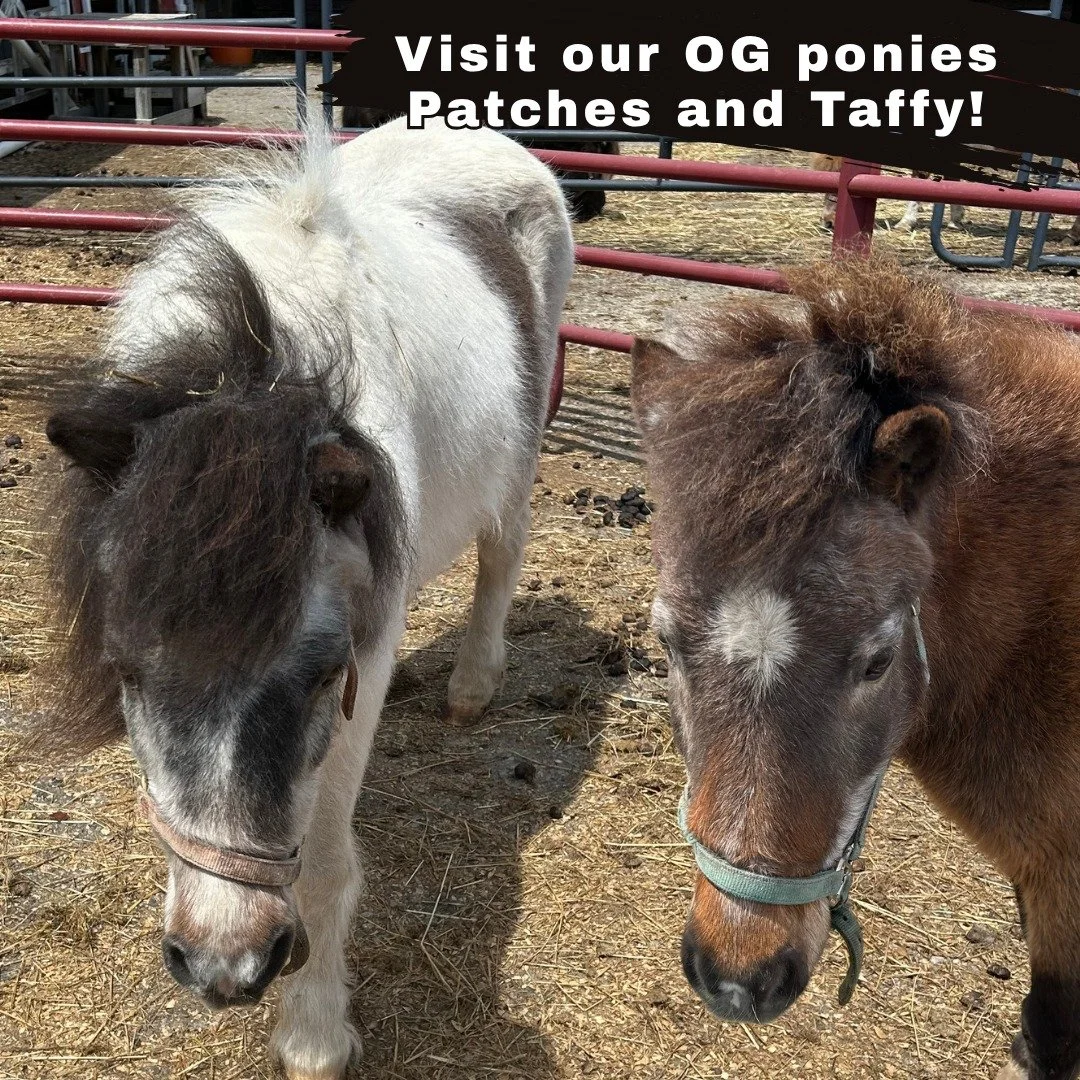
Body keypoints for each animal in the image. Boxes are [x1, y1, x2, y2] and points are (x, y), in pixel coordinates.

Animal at [34, 118, 573, 1080]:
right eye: (124, 669)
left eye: (323, 673)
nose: (223, 966)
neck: (260, 369)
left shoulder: (365, 656)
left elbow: (322, 865)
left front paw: (314, 1034)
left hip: (520, 450)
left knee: (503, 549)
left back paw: (472, 687)